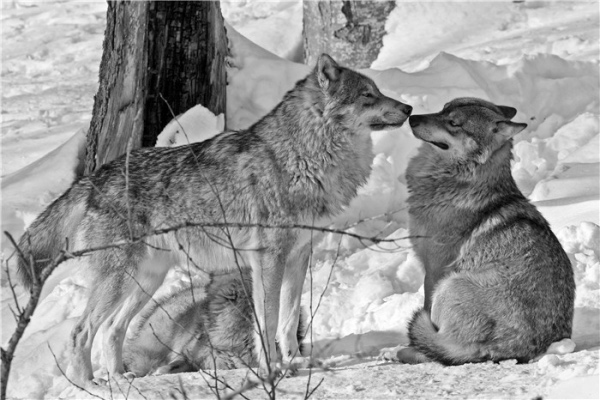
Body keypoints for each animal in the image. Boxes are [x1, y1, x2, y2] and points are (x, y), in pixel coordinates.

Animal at [404, 97, 576, 366]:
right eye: (443, 109)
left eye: (454, 123)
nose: (412, 117)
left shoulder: (434, 271)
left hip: (450, 284)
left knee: (442, 348)